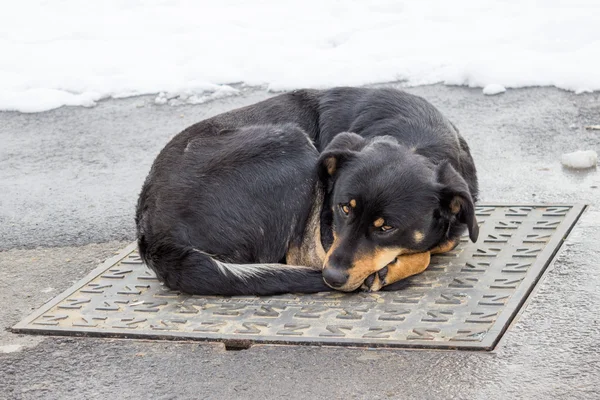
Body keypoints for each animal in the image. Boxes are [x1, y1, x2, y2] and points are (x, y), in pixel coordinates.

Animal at [136, 87, 478, 296]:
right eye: (344, 208)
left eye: (387, 227)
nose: (333, 278)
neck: (415, 138)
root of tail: (153, 233)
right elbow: (425, 254)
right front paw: (390, 270)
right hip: (295, 144)